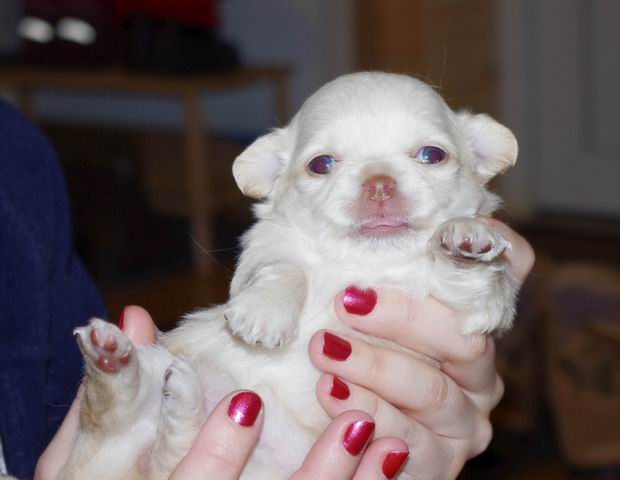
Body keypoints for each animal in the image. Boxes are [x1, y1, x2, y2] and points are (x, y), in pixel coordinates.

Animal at [60, 72, 519, 479]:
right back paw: (111, 361)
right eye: (322, 164)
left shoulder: (473, 310)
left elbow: (471, 278)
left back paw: (167, 395)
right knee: (111, 413)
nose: (379, 182)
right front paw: (264, 315)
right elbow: (286, 267)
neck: (368, 266)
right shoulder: (265, 247)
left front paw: (465, 237)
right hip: (142, 392)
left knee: (164, 443)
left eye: (432, 155)